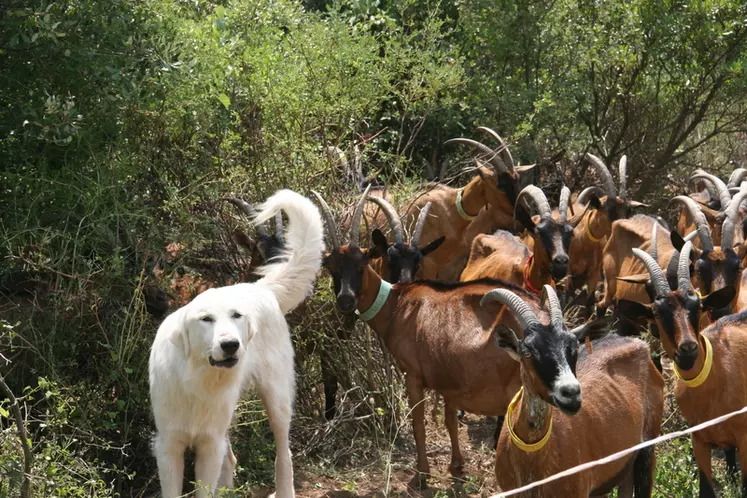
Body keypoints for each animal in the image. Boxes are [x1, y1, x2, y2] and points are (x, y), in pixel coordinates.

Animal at [149, 190, 324, 498]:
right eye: (205, 319)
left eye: (236, 316)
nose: (230, 345)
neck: (198, 381)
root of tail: (259, 287)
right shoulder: (169, 448)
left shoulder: (209, 446)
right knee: (231, 459)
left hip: (277, 400)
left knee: (284, 453)